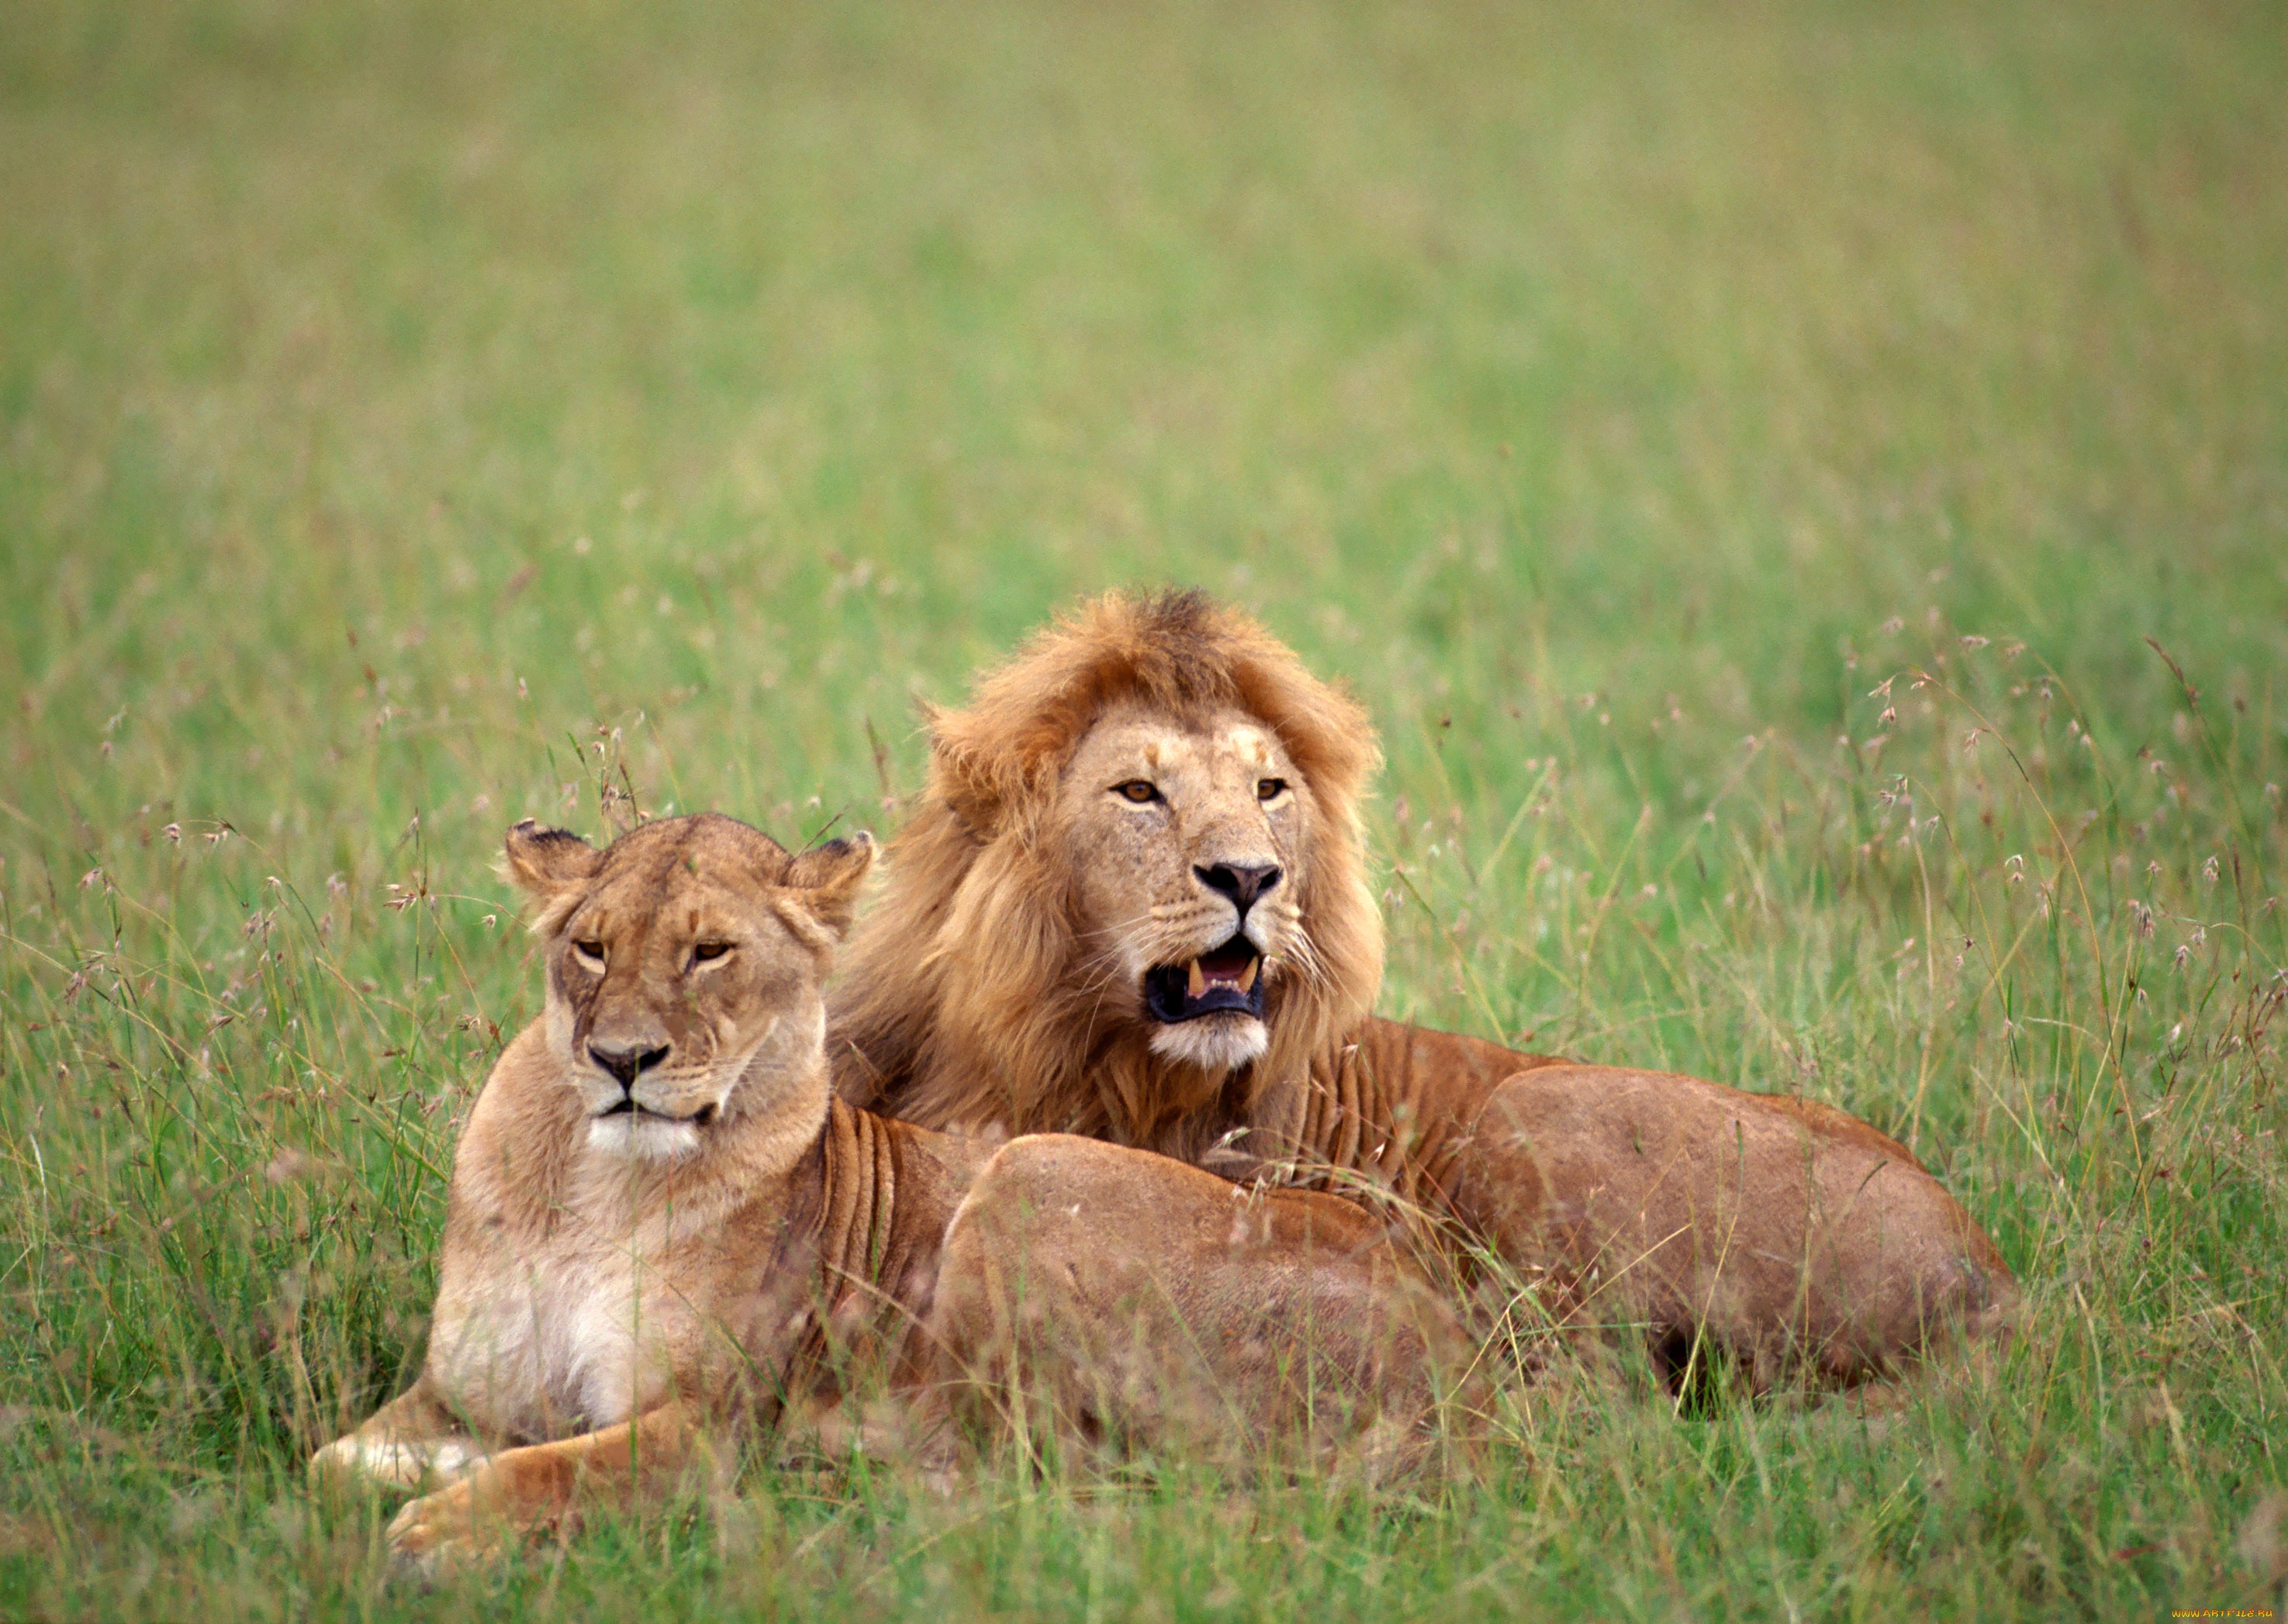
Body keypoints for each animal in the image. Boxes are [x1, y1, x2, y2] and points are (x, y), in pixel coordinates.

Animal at [318, 818, 1464, 1574]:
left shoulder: (710, 1420)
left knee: (1032, 1481)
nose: (621, 1059)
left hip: (1025, 1175)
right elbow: (338, 1459)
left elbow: (552, 1470)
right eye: (590, 947)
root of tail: (1457, 1367)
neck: (595, 1187)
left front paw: (438, 1530)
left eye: (710, 951)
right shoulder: (458, 1392)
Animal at [832, 589, 2013, 1391]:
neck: (1073, 1055)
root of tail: (1994, 1278)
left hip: (1536, 1107)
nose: (1249, 877)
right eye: (1137, 792)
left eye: (1270, 790)